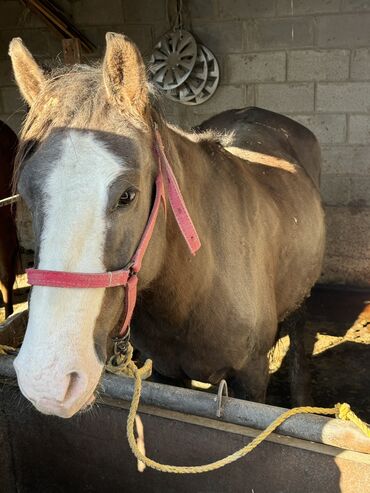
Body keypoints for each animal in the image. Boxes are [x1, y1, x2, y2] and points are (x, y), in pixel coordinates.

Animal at [8, 32, 326, 418]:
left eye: (127, 195)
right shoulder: (167, 372)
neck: (200, 283)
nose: (48, 381)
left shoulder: (251, 377)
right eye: (26, 192)